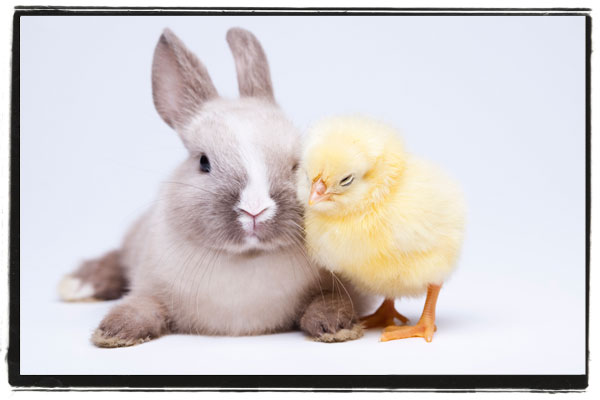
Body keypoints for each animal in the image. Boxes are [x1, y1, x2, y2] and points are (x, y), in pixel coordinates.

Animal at [57, 27, 370, 346]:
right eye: (203, 162)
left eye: (295, 164)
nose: (255, 210)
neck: (246, 258)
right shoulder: (150, 284)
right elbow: (142, 306)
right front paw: (113, 332)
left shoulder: (343, 287)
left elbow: (329, 300)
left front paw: (336, 328)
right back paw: (78, 285)